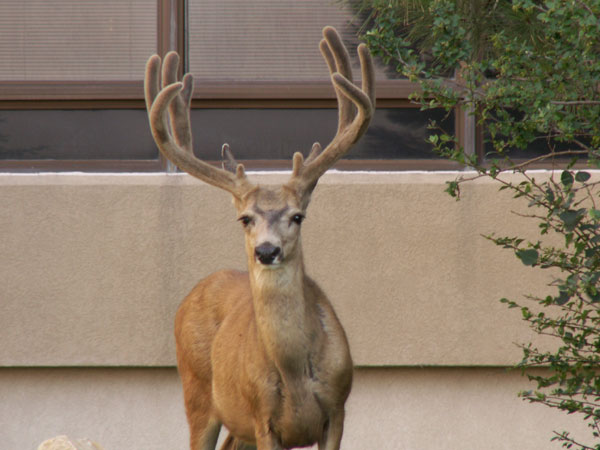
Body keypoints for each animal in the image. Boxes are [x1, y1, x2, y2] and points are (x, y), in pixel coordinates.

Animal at [143, 26, 372, 448]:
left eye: (297, 216)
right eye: (244, 219)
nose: (267, 251)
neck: (294, 372)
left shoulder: (338, 410)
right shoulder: (263, 419)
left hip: (237, 426)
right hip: (197, 393)